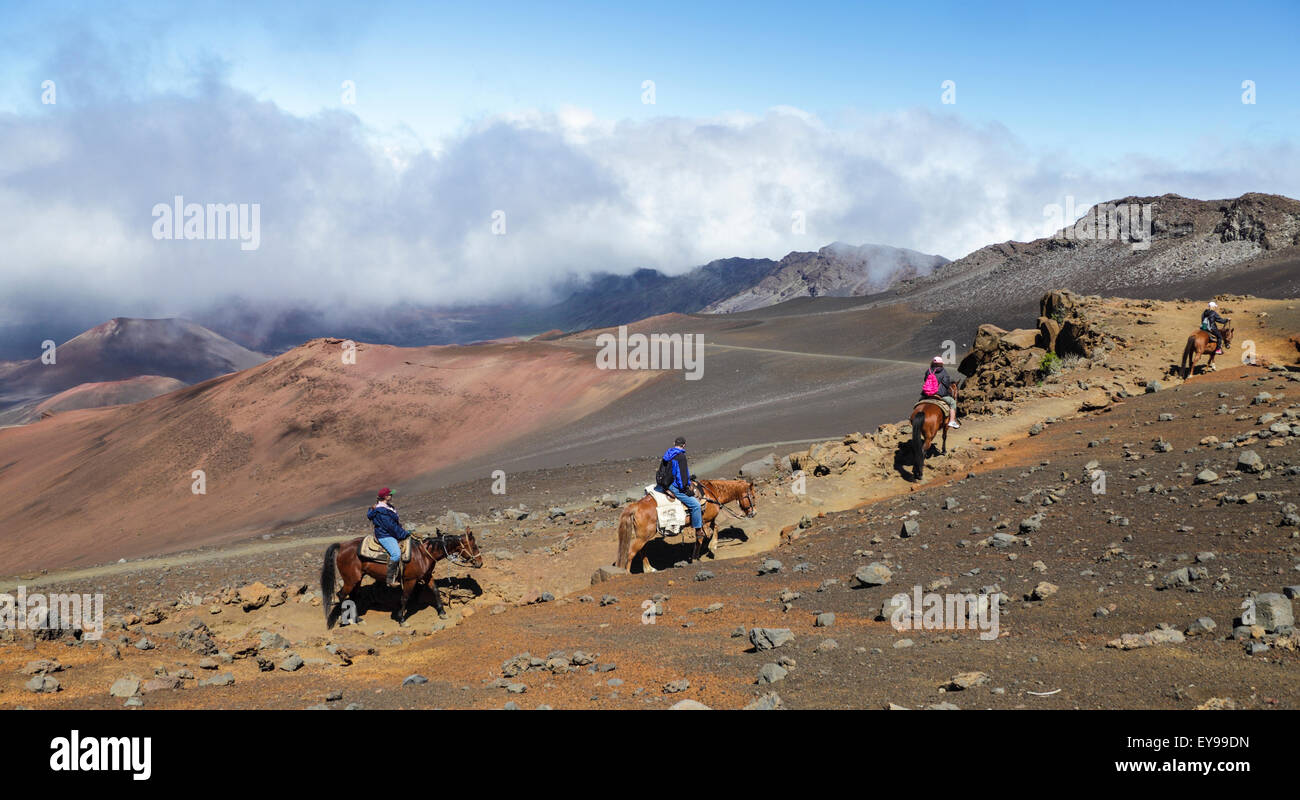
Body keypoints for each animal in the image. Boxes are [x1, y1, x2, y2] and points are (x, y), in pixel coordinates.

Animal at [322, 533, 486, 632]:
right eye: (474, 546)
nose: (480, 563)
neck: (423, 554)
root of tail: (342, 546)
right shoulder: (410, 580)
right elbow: (405, 597)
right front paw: (401, 619)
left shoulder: (427, 576)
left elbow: (435, 590)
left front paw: (442, 612)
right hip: (351, 579)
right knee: (341, 595)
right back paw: (350, 619)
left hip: (358, 579)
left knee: (353, 596)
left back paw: (357, 618)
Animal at [613, 478, 759, 572]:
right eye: (752, 496)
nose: (754, 513)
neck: (712, 493)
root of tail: (636, 505)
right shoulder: (704, 520)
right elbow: (704, 535)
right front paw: (709, 548)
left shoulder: (706, 520)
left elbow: (712, 529)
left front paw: (706, 550)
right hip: (643, 536)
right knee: (631, 552)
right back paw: (627, 574)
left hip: (643, 536)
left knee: (641, 550)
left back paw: (649, 569)